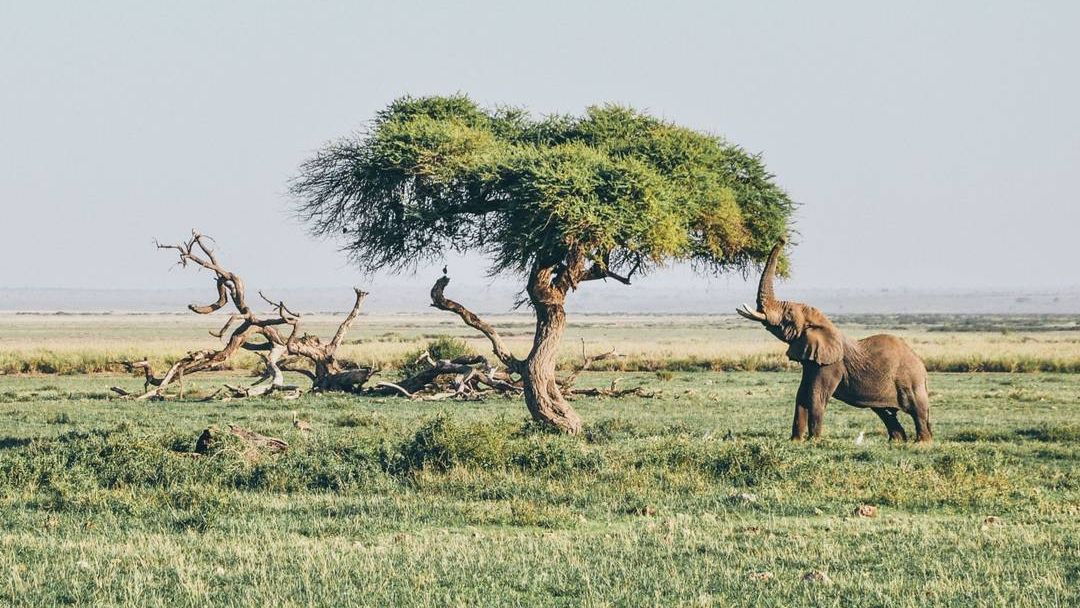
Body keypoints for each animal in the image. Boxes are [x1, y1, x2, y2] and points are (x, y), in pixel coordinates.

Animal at [738, 240, 933, 444]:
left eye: (788, 316)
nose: (782, 239)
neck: (823, 324)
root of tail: (921, 365)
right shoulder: (812, 360)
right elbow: (801, 395)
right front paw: (796, 441)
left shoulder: (831, 365)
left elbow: (815, 396)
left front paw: (814, 441)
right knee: (886, 413)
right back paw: (896, 441)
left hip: (911, 380)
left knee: (917, 410)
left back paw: (922, 443)